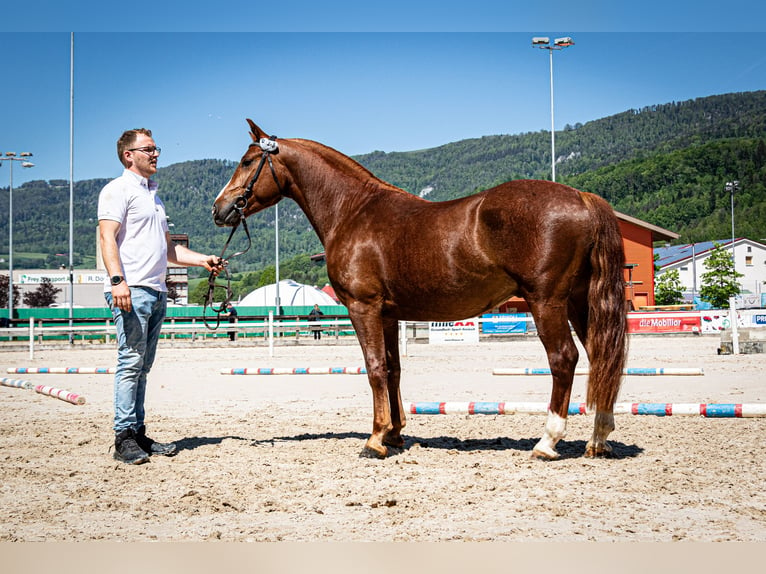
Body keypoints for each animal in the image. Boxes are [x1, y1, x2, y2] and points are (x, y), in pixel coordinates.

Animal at [213, 121, 628, 464]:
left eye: (248, 162)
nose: (219, 209)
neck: (353, 211)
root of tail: (581, 197)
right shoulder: (388, 314)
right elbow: (393, 369)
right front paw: (394, 434)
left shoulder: (363, 308)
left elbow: (375, 369)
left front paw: (375, 440)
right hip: (579, 302)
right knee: (601, 357)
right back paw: (598, 439)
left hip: (546, 301)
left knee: (564, 359)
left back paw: (548, 442)